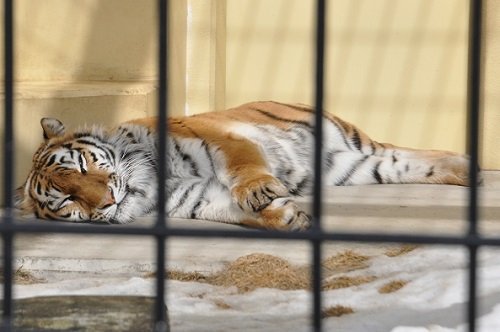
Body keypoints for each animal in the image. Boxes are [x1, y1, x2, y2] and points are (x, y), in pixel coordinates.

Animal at [14, 101, 468, 231]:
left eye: (83, 166)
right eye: (67, 200)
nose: (107, 200)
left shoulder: (221, 139)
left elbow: (243, 169)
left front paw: (261, 192)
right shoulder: (195, 197)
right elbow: (232, 211)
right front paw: (284, 217)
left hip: (348, 142)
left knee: (400, 150)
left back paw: (468, 165)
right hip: (348, 167)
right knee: (400, 161)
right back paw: (464, 169)